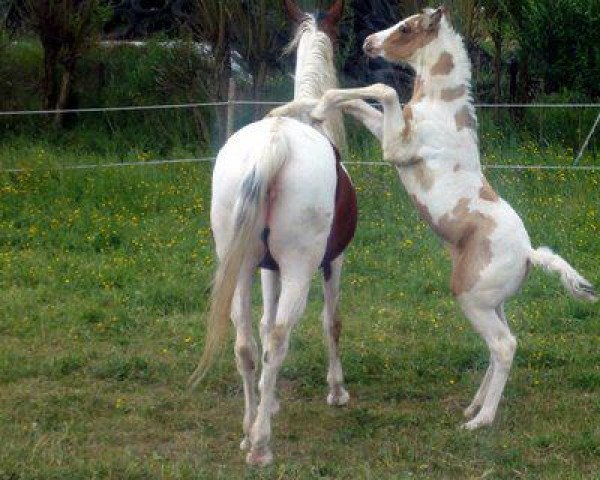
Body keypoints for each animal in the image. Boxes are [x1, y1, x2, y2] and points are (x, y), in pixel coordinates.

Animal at [190, 0, 356, 464]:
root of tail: (274, 144)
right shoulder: (333, 261)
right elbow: (331, 321)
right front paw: (337, 391)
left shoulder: (267, 268)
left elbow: (262, 326)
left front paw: (272, 399)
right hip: (301, 267)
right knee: (280, 338)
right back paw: (261, 444)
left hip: (241, 265)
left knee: (247, 342)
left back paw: (250, 430)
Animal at [272, 5, 596, 430]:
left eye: (406, 28)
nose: (368, 42)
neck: (440, 111)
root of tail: (530, 253)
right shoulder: (389, 133)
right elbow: (360, 104)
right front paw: (297, 108)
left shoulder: (396, 148)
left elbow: (383, 90)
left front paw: (314, 107)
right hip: (494, 303)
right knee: (500, 345)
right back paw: (473, 406)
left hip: (472, 300)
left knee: (505, 346)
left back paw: (480, 421)